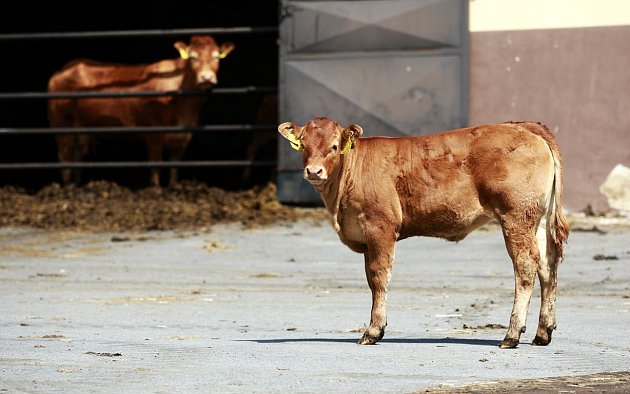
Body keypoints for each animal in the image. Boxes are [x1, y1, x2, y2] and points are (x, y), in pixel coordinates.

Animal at [47, 35, 235, 186]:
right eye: (193, 57)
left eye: (217, 57)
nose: (206, 77)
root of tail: (63, 70)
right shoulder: (154, 133)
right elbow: (155, 165)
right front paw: (156, 190)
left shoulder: (183, 136)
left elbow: (175, 167)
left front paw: (174, 188)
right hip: (62, 125)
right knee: (64, 157)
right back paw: (68, 188)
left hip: (79, 129)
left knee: (76, 159)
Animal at [278, 116, 572, 348]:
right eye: (303, 145)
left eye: (334, 146)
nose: (313, 171)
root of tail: (523, 126)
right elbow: (371, 279)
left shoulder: (380, 226)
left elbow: (379, 277)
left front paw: (373, 330)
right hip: (538, 221)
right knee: (548, 266)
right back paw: (543, 332)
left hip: (516, 217)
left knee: (526, 266)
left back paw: (511, 335)